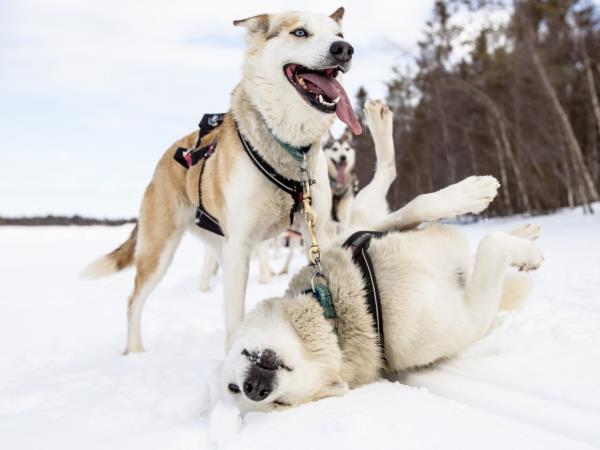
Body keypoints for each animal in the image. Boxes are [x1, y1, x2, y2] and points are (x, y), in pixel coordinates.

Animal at [82, 5, 366, 354]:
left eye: (339, 35)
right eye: (300, 32)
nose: (344, 49)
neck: (289, 149)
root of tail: (163, 160)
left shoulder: (316, 232)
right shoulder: (241, 245)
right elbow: (235, 317)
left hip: (221, 247)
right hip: (161, 252)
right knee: (134, 300)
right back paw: (134, 351)